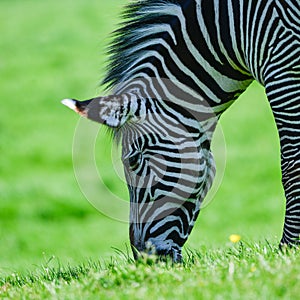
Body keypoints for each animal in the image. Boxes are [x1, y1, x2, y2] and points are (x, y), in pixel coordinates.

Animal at [61, 0, 300, 262]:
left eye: (132, 161)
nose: (144, 259)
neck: (231, 32)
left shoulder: (283, 68)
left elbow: (291, 166)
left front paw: (290, 246)